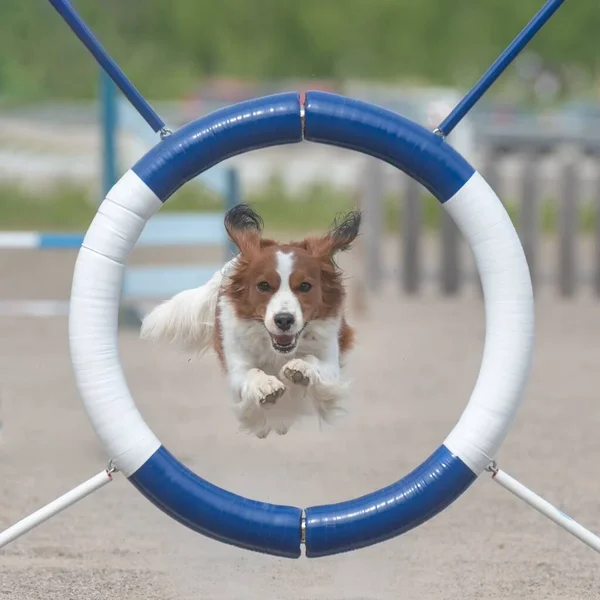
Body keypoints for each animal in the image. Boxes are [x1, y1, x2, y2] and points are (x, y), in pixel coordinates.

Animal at [139, 204, 360, 438]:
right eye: (263, 285)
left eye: (305, 286)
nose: (284, 320)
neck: (277, 351)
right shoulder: (236, 366)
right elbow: (250, 372)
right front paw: (265, 384)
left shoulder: (331, 365)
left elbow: (314, 362)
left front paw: (301, 367)